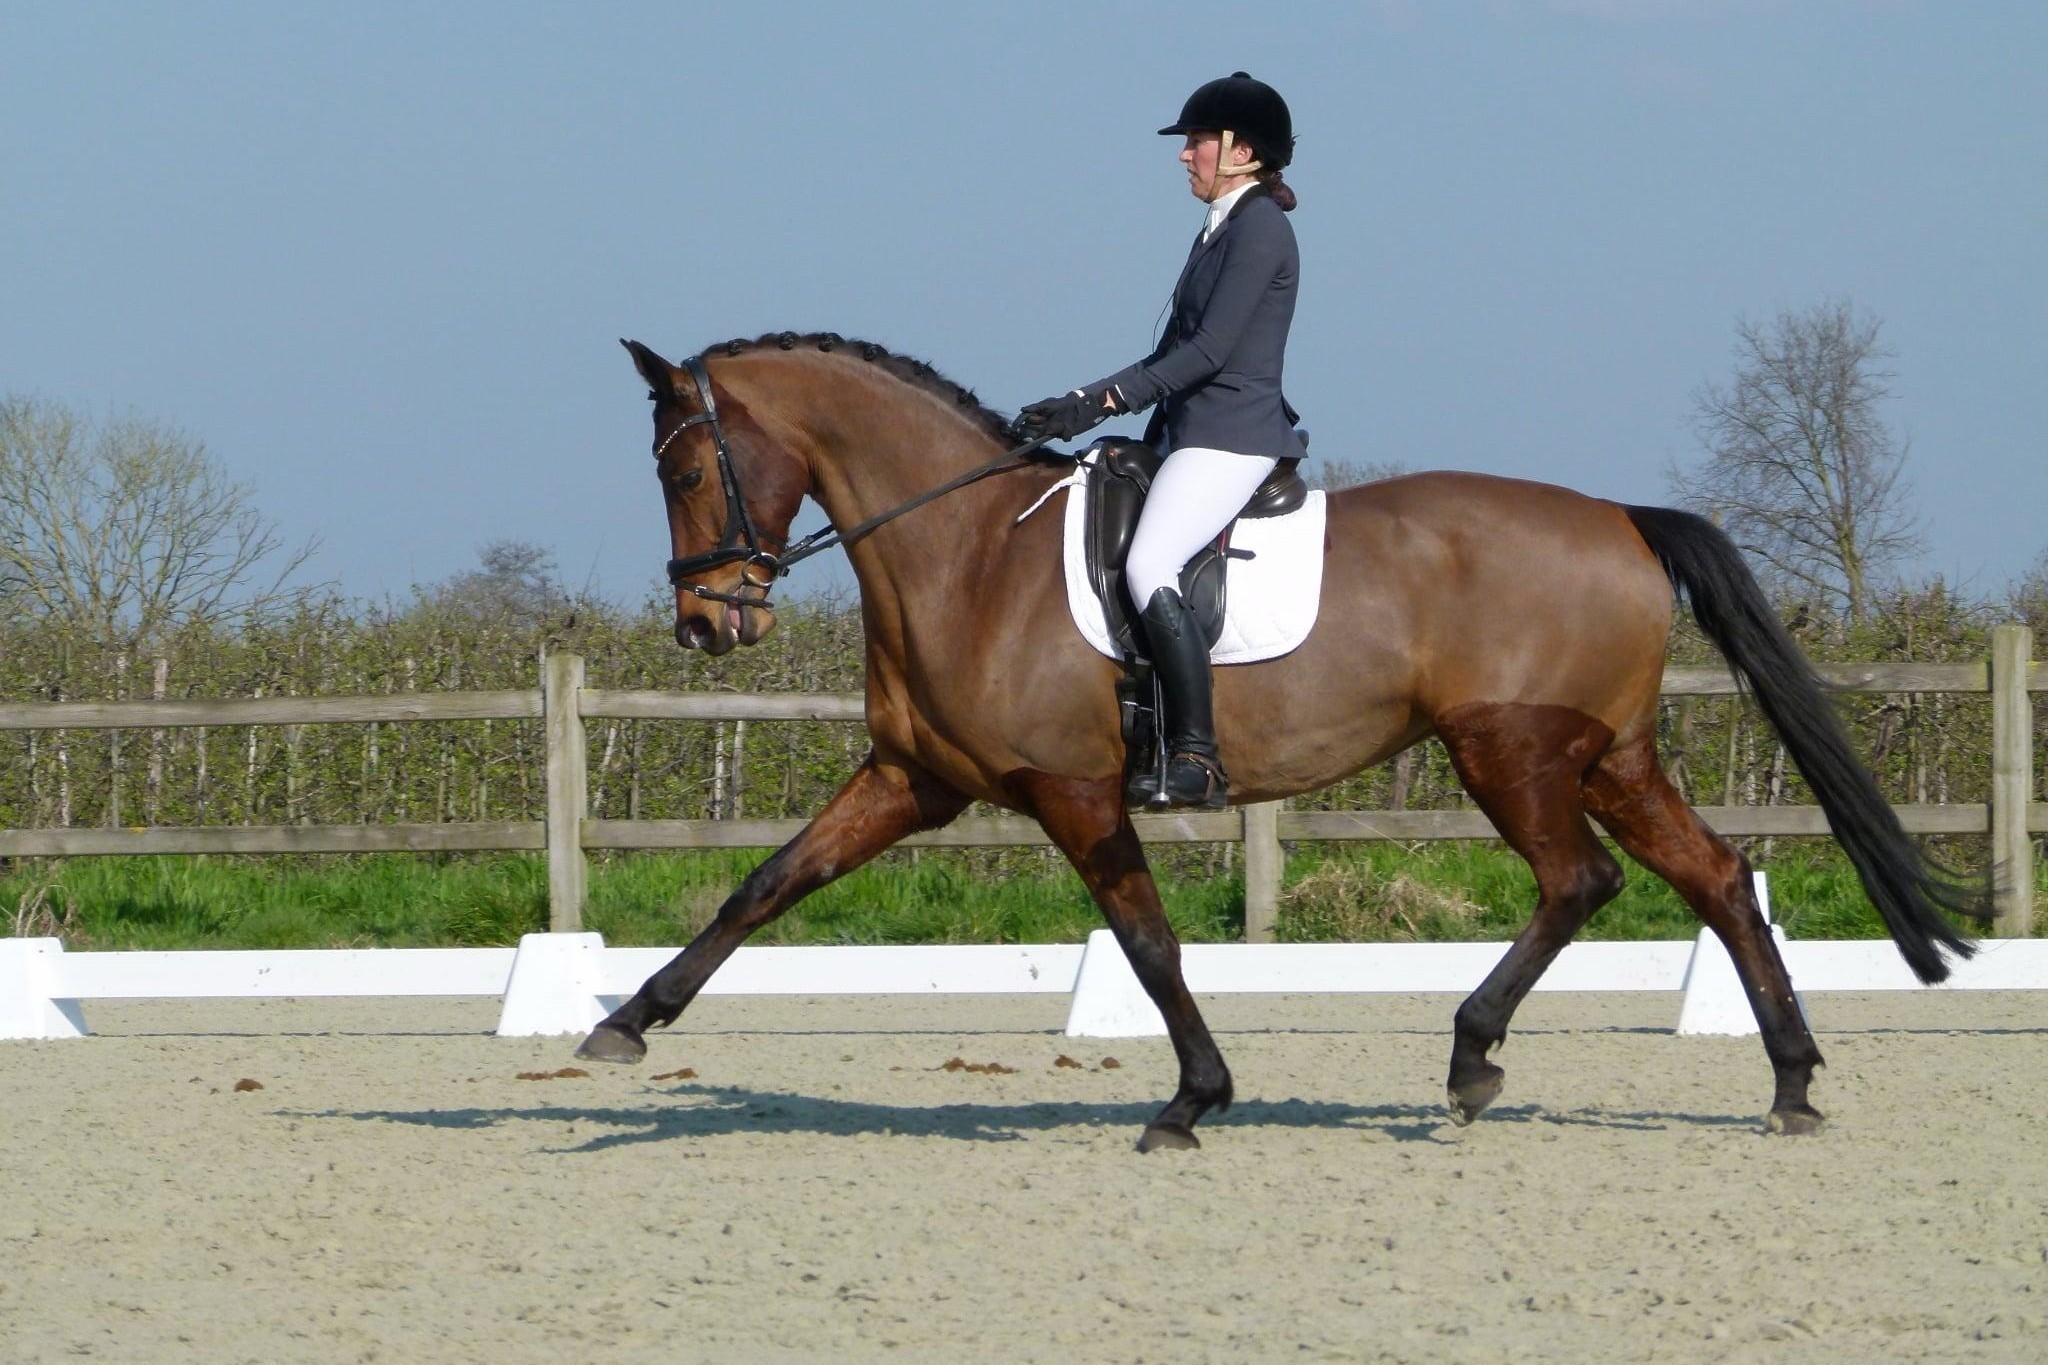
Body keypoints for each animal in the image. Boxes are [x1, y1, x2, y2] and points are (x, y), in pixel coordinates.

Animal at [576, 331, 1981, 1151]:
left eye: (685, 469)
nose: (707, 623)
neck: (965, 553)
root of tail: (1618, 519)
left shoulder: (1074, 791)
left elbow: (1146, 944)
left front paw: (1189, 1102)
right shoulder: (912, 780)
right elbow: (767, 884)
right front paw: (628, 1022)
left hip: (1511, 750)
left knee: (1579, 880)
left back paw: (1472, 1063)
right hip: (1607, 755)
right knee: (1717, 880)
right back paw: (1788, 1087)